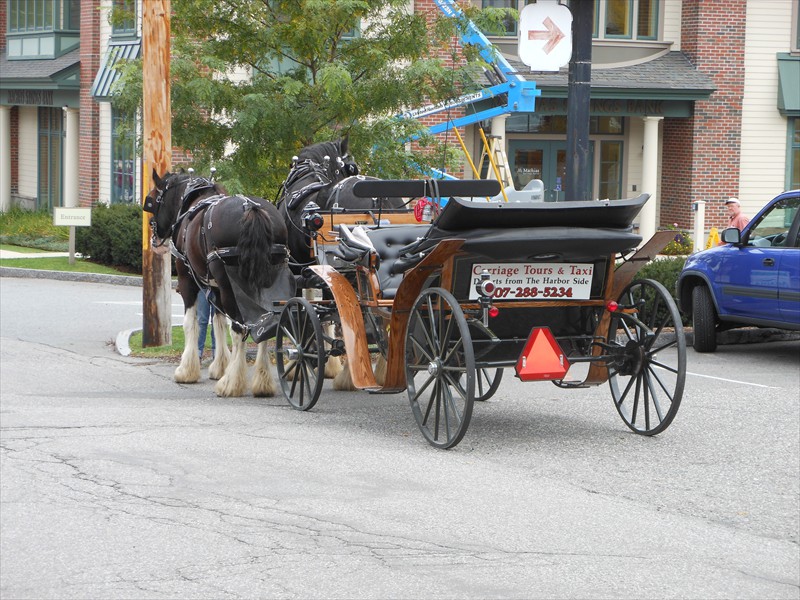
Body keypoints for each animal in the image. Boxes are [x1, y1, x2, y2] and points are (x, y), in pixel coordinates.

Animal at [145, 169, 290, 396]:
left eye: (151, 200)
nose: (154, 238)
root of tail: (251, 208)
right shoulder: (215, 287)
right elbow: (219, 322)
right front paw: (220, 366)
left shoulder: (188, 280)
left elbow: (191, 323)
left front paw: (187, 370)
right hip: (264, 280)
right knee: (265, 324)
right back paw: (262, 381)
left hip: (228, 285)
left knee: (239, 329)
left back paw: (231, 383)